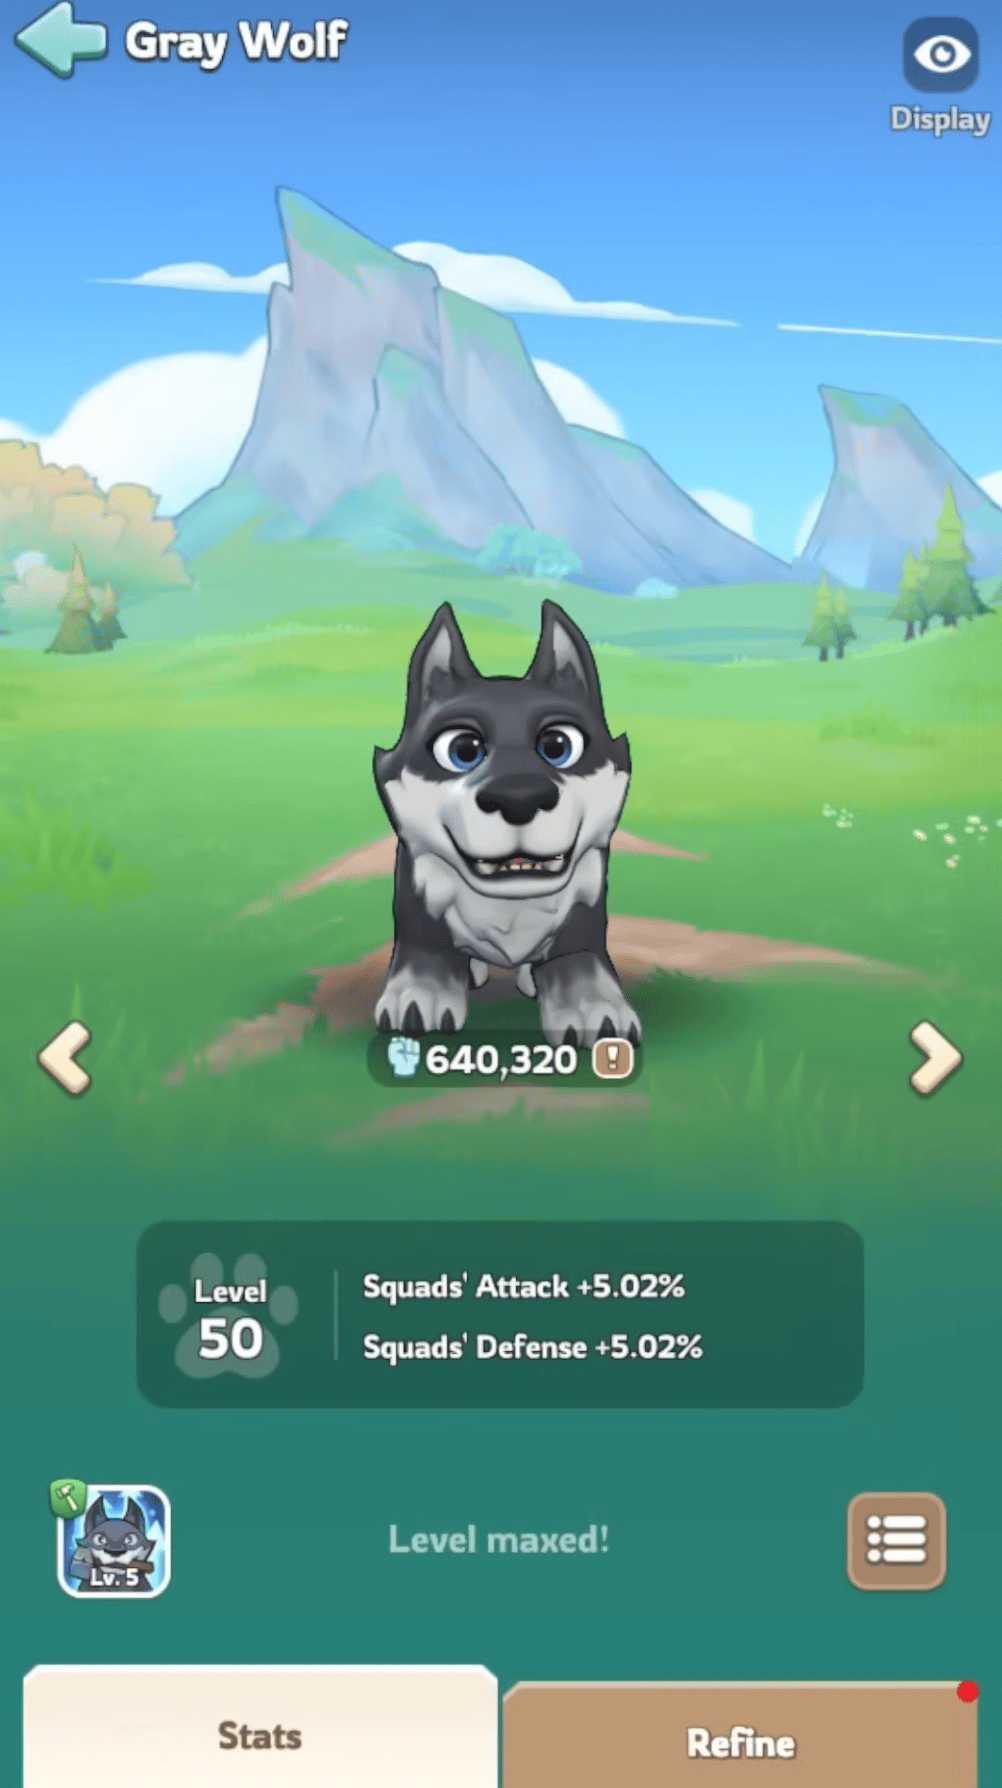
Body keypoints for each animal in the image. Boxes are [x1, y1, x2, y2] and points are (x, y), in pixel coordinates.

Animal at [373, 600, 641, 1048]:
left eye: (558, 746)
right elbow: (424, 951)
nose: (519, 797)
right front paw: (419, 993)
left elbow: (579, 958)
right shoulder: (417, 896)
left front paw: (591, 1005)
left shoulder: (584, 908)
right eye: (462, 750)